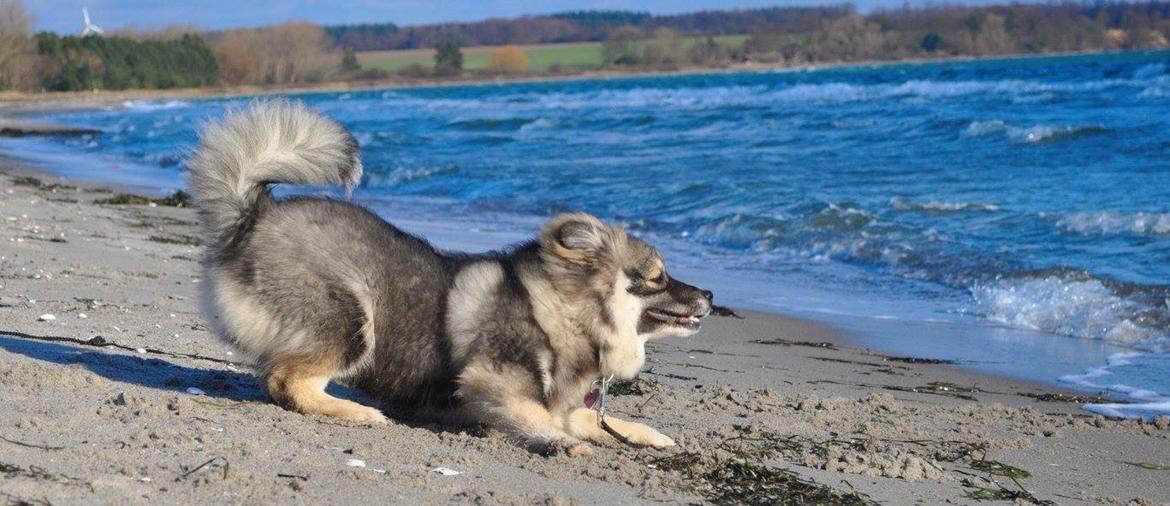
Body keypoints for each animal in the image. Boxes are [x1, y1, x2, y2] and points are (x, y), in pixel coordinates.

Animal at [187, 99, 711, 454]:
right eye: (658, 278)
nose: (708, 292)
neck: (566, 312)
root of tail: (252, 217)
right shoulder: (491, 382)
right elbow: (543, 419)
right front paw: (562, 443)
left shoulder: (559, 400)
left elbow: (595, 419)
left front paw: (652, 436)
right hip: (351, 321)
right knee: (287, 382)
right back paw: (357, 411)